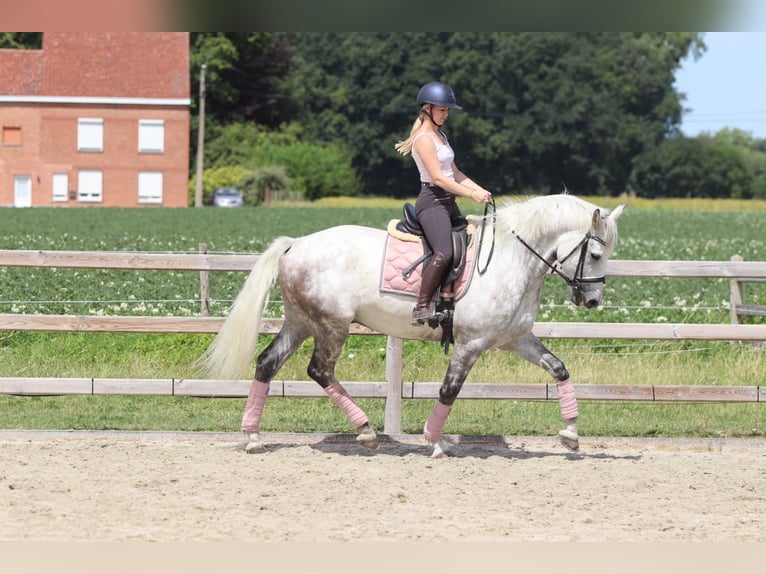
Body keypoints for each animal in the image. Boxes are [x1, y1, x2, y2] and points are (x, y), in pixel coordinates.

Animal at [198, 193, 625, 458]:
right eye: (596, 253)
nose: (592, 301)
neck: (510, 259)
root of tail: (297, 243)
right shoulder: (471, 344)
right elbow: (449, 391)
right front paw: (434, 443)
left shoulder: (515, 339)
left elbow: (559, 369)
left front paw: (571, 434)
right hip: (331, 326)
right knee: (320, 370)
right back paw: (366, 431)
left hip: (300, 322)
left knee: (267, 364)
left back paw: (253, 437)